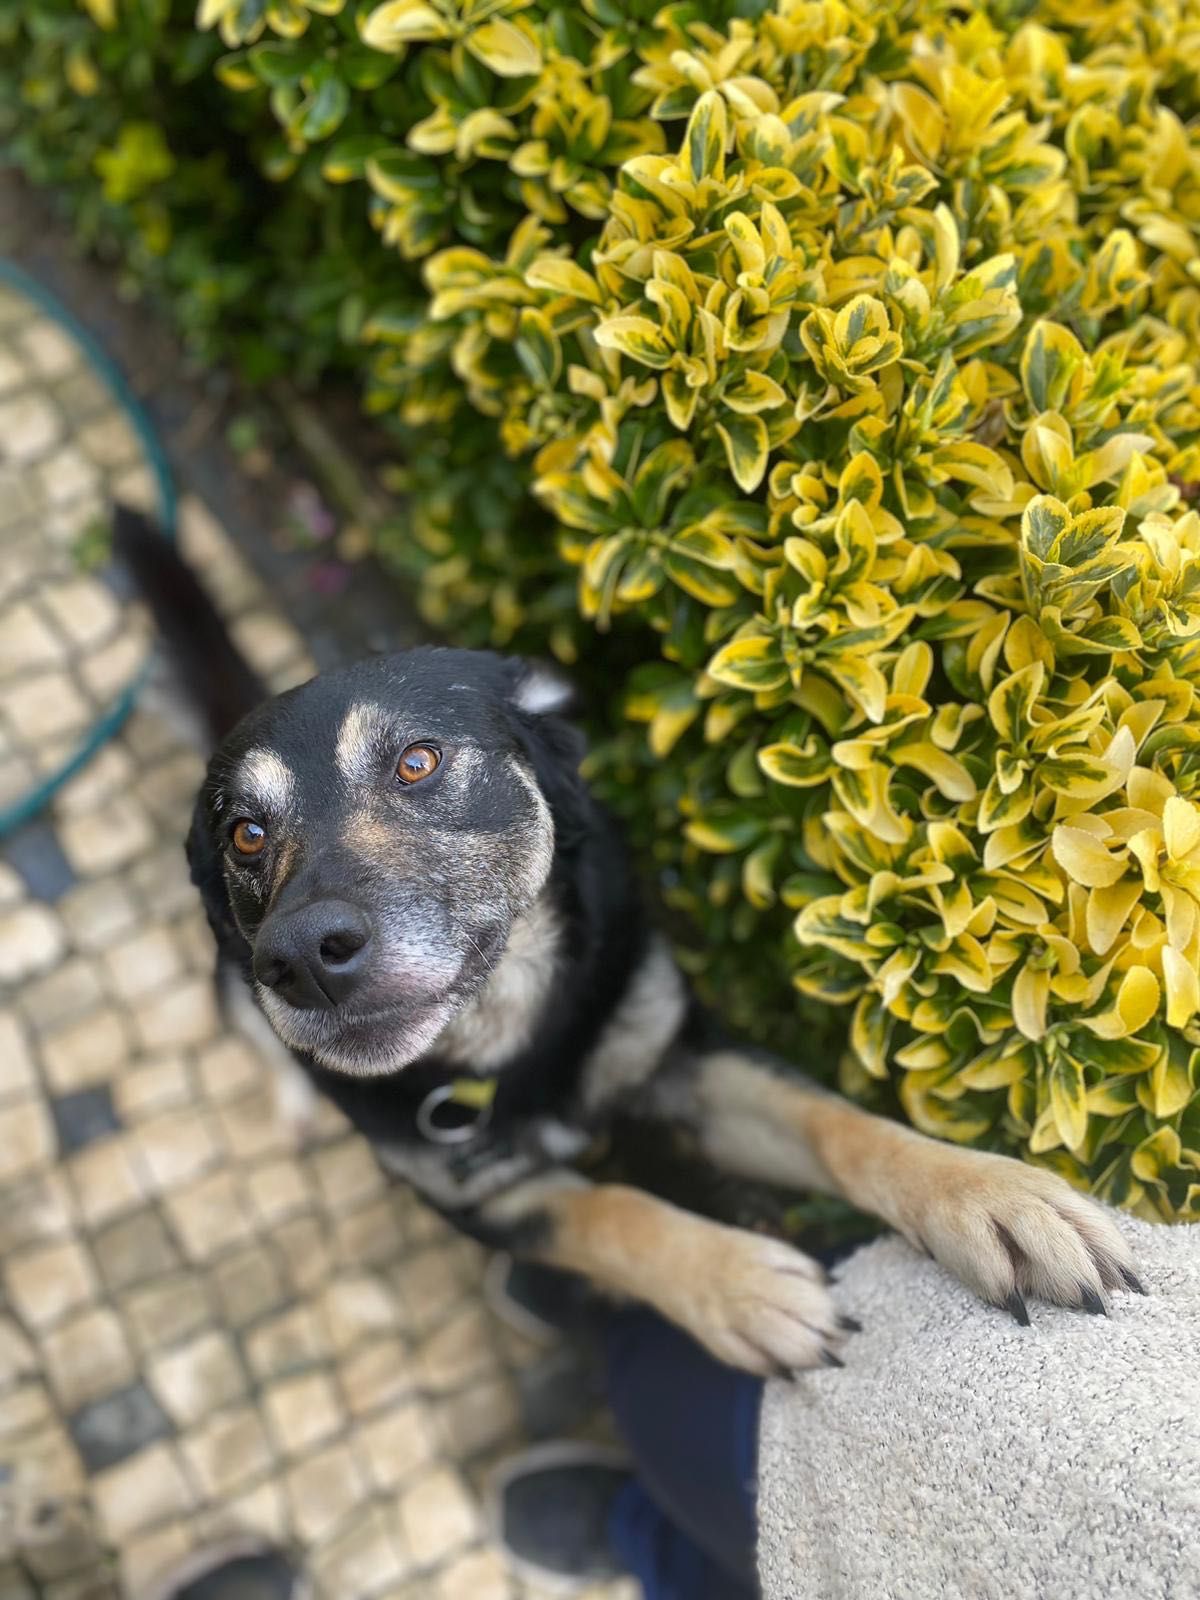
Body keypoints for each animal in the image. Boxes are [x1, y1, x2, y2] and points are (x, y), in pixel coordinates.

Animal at [122, 512, 1145, 1376]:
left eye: (416, 761)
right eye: (244, 835)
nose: (297, 958)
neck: (515, 1036)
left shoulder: (683, 1061)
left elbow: (840, 1124)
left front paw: (990, 1197)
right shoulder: (489, 1201)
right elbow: (614, 1212)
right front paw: (743, 1286)